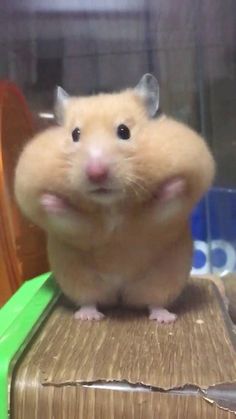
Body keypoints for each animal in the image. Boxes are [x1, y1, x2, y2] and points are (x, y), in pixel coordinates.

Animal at [13, 75, 215, 324]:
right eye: (75, 134)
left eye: (124, 131)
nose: (96, 173)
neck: (111, 205)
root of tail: (120, 294)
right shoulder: (76, 227)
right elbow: (64, 214)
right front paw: (50, 199)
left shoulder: (158, 216)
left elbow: (167, 199)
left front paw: (174, 185)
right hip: (80, 280)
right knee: (90, 300)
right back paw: (88, 317)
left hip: (163, 280)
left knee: (153, 302)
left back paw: (165, 318)